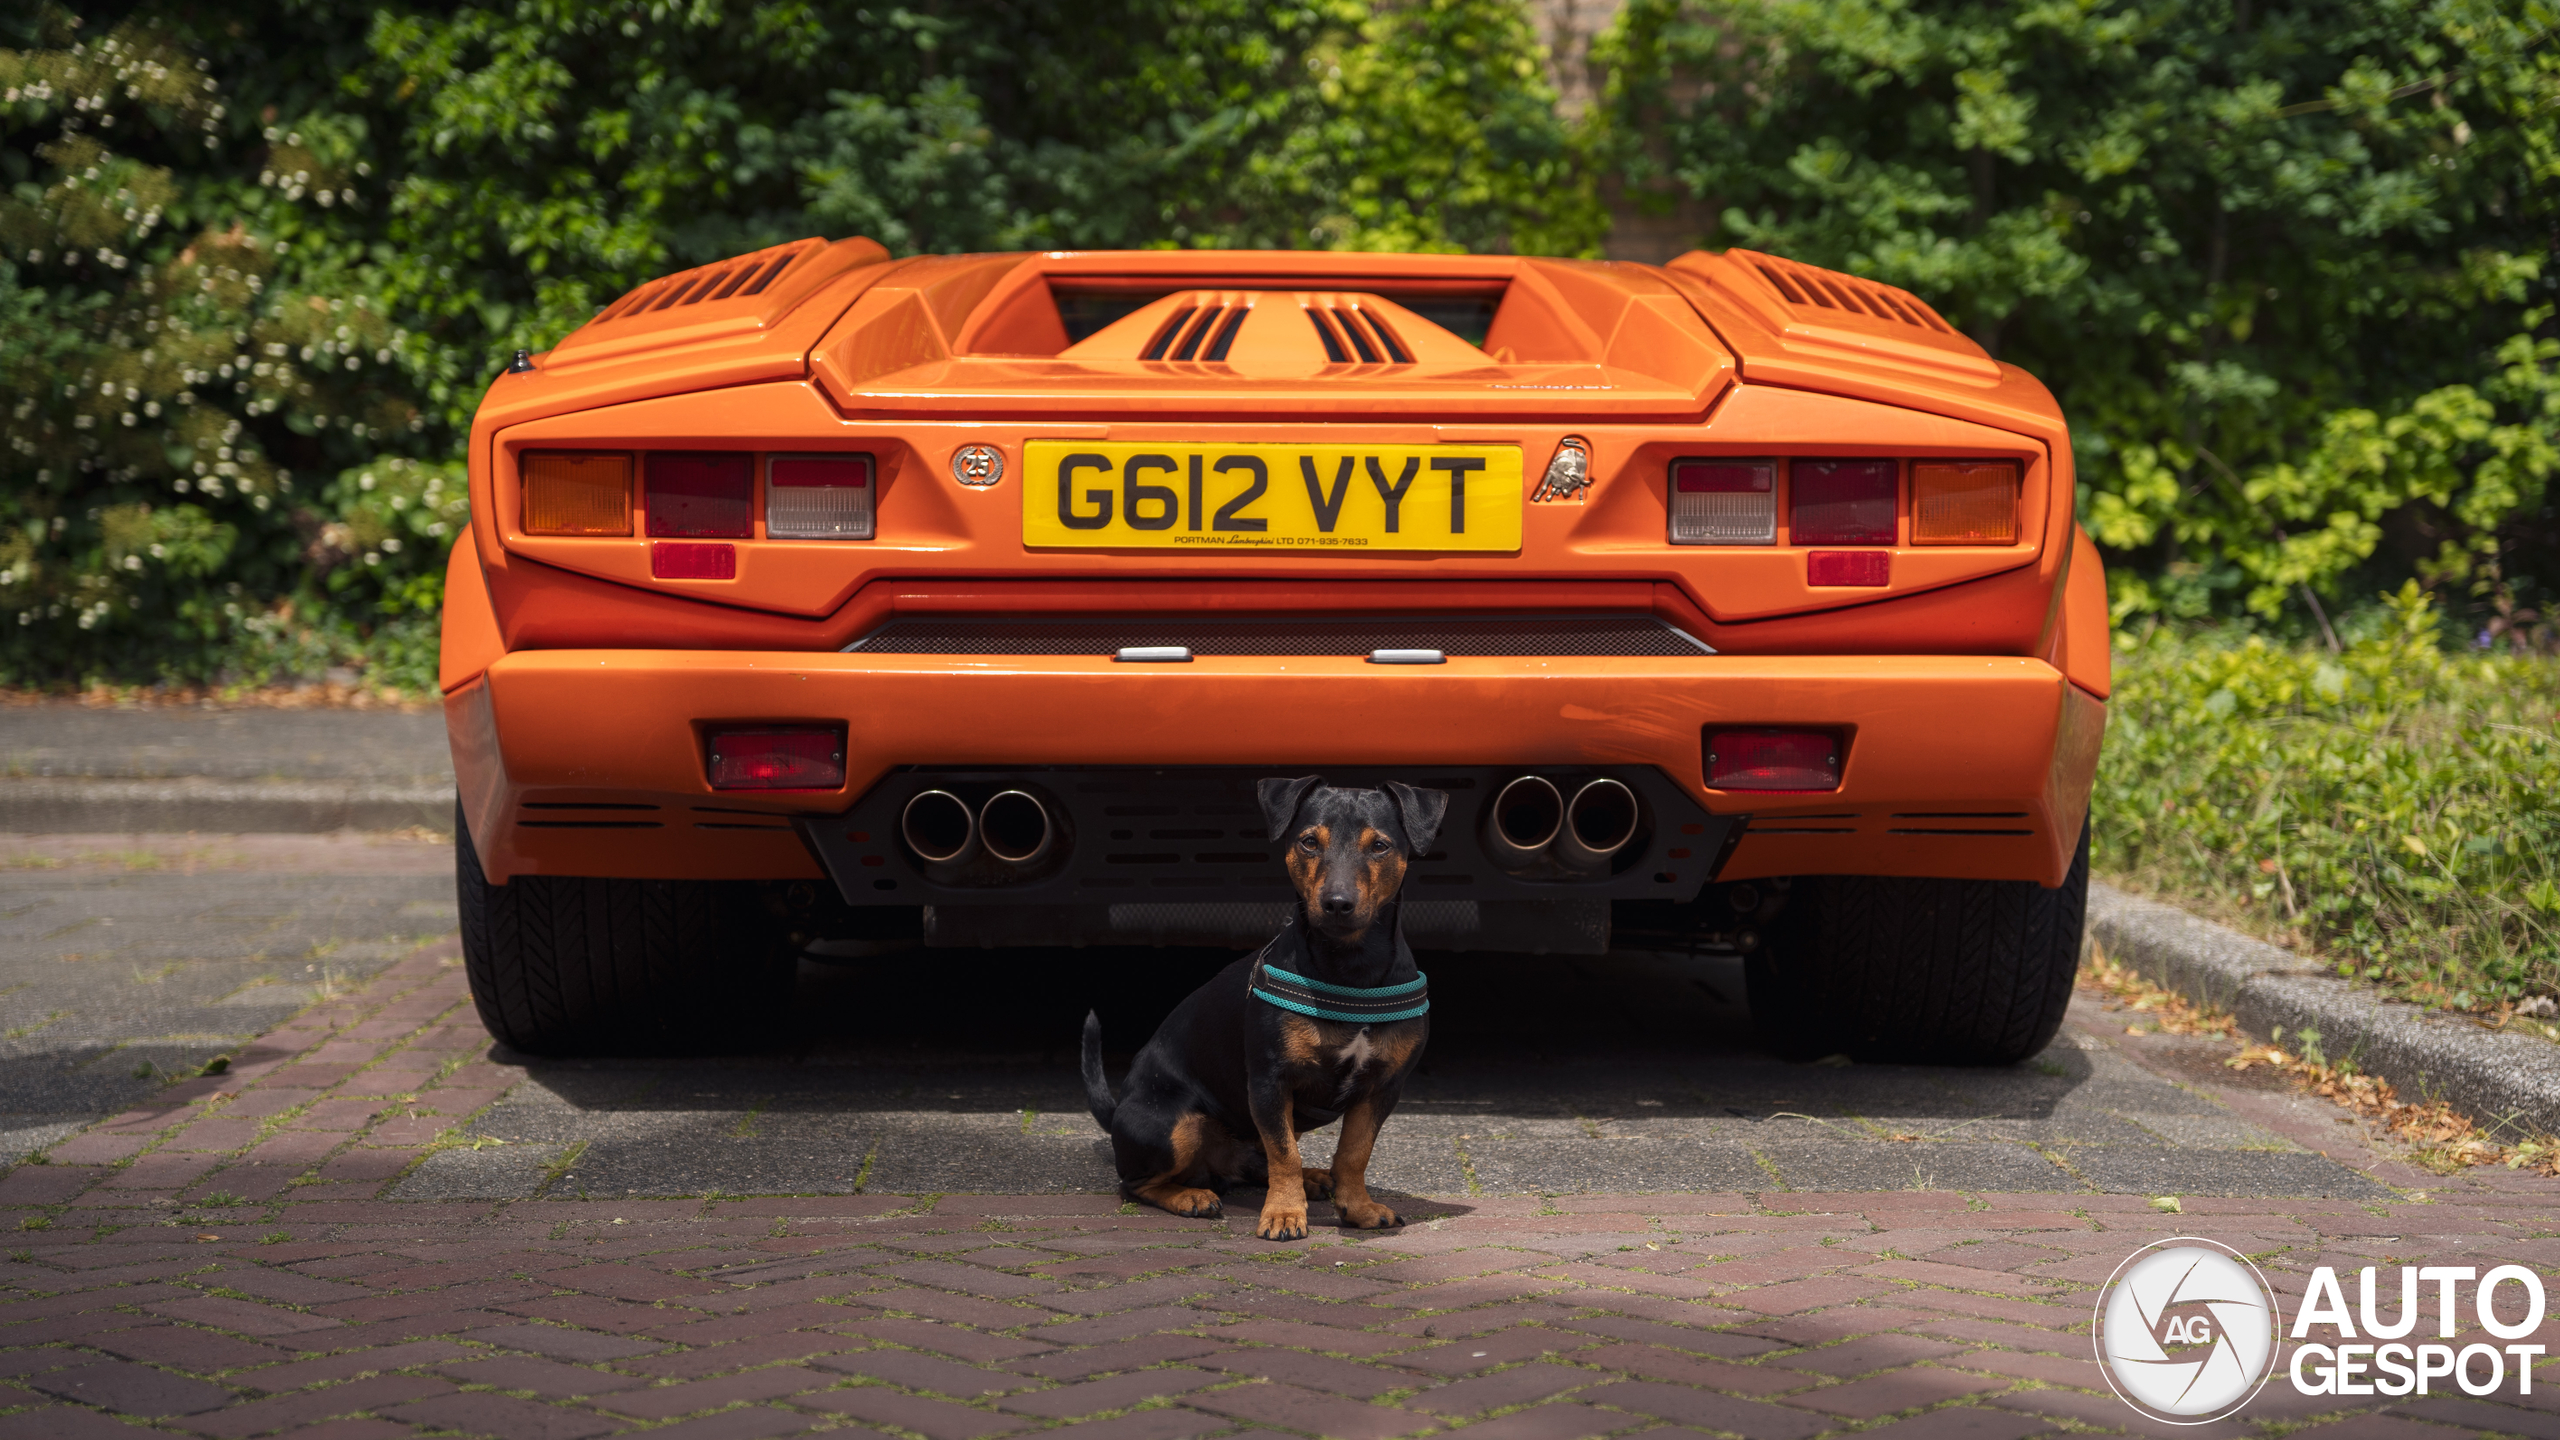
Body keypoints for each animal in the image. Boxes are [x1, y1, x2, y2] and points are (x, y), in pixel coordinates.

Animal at [1075, 773, 1443, 1235]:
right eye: (1309, 842)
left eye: (1379, 845)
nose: (1337, 903)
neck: (1350, 967)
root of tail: (1118, 1110)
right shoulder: (1270, 1082)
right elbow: (1284, 1154)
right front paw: (1284, 1213)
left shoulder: (1382, 1088)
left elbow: (1354, 1153)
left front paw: (1357, 1207)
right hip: (1172, 1126)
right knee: (1137, 1183)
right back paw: (1191, 1196)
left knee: (1257, 1162)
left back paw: (1313, 1178)